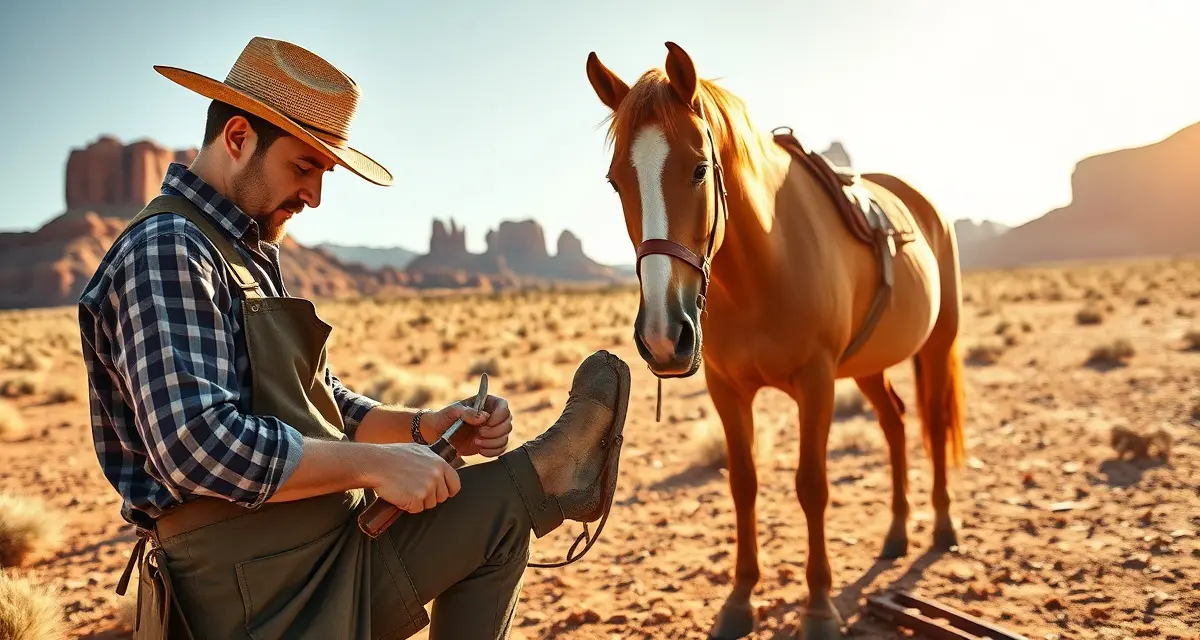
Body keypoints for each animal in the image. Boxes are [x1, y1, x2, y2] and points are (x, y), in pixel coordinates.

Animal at [584, 42, 966, 640]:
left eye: (699, 169)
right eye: (615, 181)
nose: (664, 336)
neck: (764, 268)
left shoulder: (817, 383)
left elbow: (812, 487)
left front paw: (818, 607)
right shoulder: (727, 390)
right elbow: (743, 484)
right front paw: (740, 599)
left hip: (935, 345)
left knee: (932, 420)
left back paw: (942, 527)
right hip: (868, 366)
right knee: (896, 422)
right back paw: (896, 535)